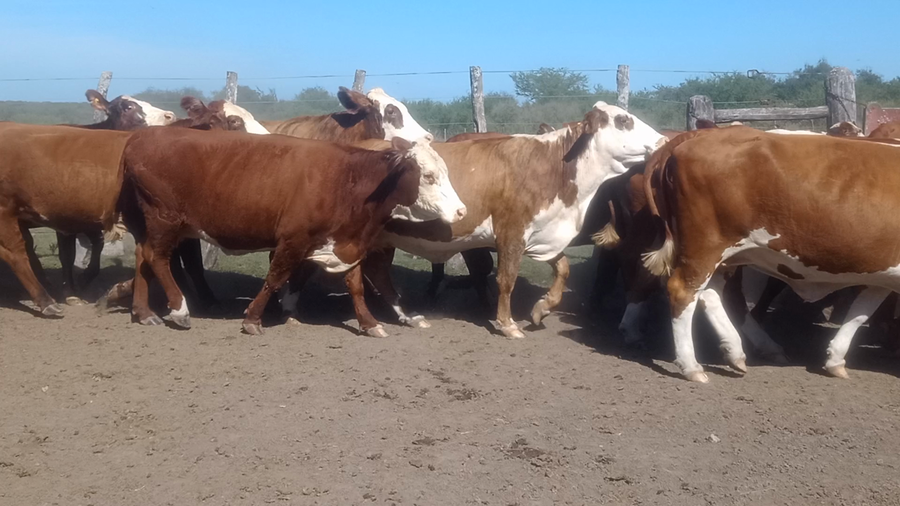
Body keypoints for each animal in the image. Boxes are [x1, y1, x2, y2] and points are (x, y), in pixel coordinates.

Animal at [117, 127, 466, 334]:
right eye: (429, 176)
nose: (461, 210)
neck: (347, 180)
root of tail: (144, 135)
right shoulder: (293, 239)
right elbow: (276, 277)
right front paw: (252, 319)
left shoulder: (348, 242)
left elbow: (356, 285)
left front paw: (369, 323)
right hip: (164, 218)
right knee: (157, 257)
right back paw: (179, 310)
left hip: (155, 223)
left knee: (142, 255)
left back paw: (143, 312)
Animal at [305, 102, 666, 339]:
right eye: (624, 120)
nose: (663, 140)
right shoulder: (511, 232)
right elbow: (506, 280)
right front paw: (507, 324)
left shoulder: (541, 234)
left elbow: (562, 269)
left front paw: (542, 308)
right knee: (354, 279)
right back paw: (370, 323)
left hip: (383, 238)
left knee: (379, 274)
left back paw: (409, 316)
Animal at [639, 126, 900, 382]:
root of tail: (703, 133)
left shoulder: (883, 273)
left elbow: (861, 312)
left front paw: (835, 359)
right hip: (705, 245)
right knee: (683, 291)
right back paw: (691, 365)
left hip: (723, 255)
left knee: (713, 294)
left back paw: (737, 351)